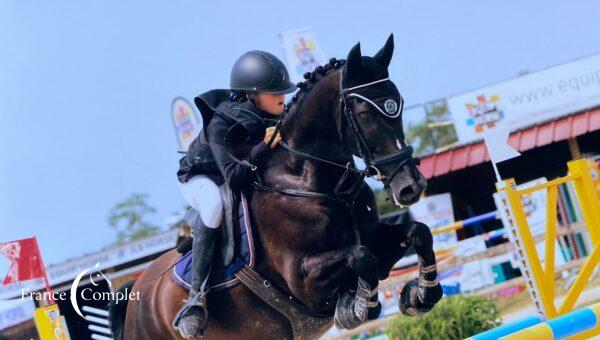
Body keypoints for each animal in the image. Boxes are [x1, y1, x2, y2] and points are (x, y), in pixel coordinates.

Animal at [110, 35, 442, 340]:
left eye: (397, 105)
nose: (411, 186)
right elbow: (361, 256)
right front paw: (359, 307)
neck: (317, 185)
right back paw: (192, 314)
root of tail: (137, 290)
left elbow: (418, 232)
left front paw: (422, 295)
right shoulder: (304, 279)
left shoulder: (375, 239)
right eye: (364, 114)